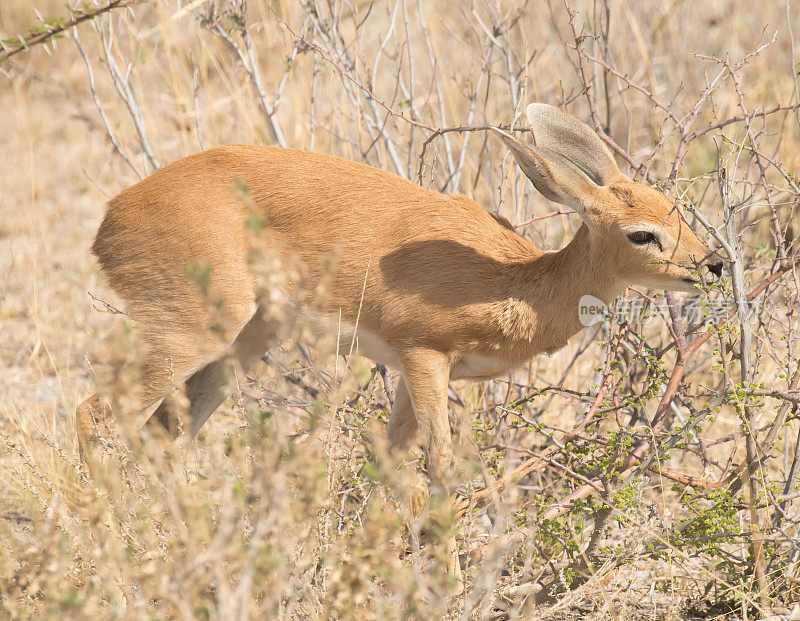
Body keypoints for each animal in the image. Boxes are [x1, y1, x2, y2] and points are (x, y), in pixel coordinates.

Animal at [78, 103, 720, 490]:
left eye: (678, 208)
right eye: (643, 233)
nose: (712, 264)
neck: (516, 282)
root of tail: (112, 215)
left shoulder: (421, 374)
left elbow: (387, 462)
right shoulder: (424, 356)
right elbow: (439, 464)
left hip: (243, 346)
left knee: (167, 433)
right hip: (192, 331)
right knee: (95, 414)